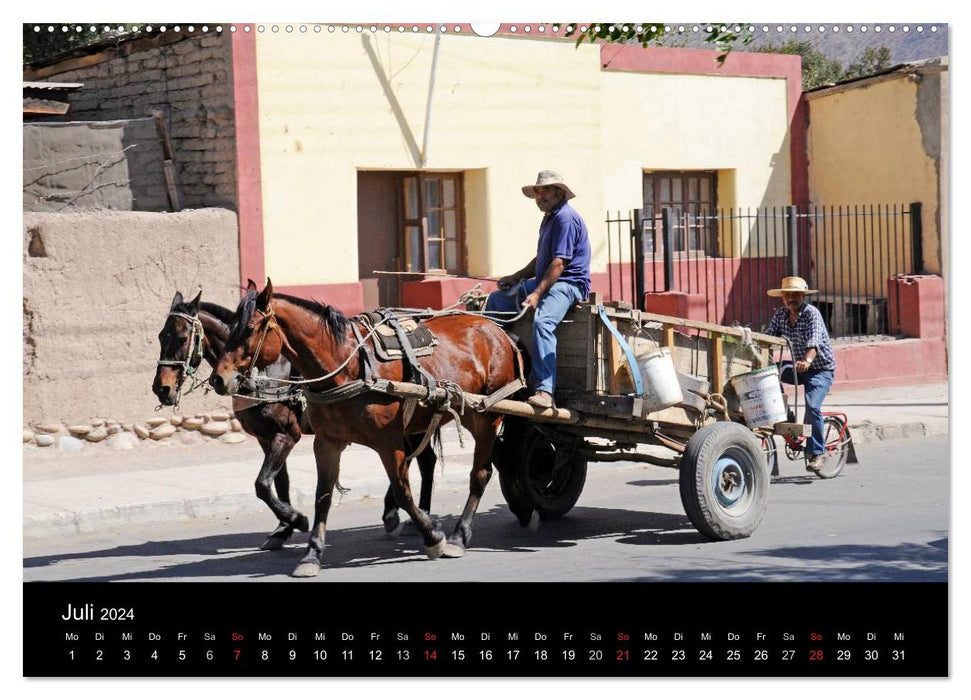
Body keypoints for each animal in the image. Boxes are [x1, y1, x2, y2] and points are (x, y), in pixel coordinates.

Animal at [153, 290, 436, 548]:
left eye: (181, 337)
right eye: (160, 336)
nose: (161, 389)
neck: (264, 374)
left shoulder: (287, 434)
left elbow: (262, 484)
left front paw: (295, 519)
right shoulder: (266, 438)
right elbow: (279, 482)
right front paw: (283, 527)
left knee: (419, 462)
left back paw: (411, 514)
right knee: (423, 460)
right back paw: (406, 513)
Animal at [209, 282, 520, 576]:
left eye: (249, 329)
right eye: (230, 327)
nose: (219, 379)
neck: (346, 366)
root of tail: (498, 331)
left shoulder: (386, 441)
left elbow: (402, 491)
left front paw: (433, 537)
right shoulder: (325, 441)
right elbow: (320, 496)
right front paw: (310, 553)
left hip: (487, 416)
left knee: (479, 474)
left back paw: (458, 535)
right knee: (434, 463)